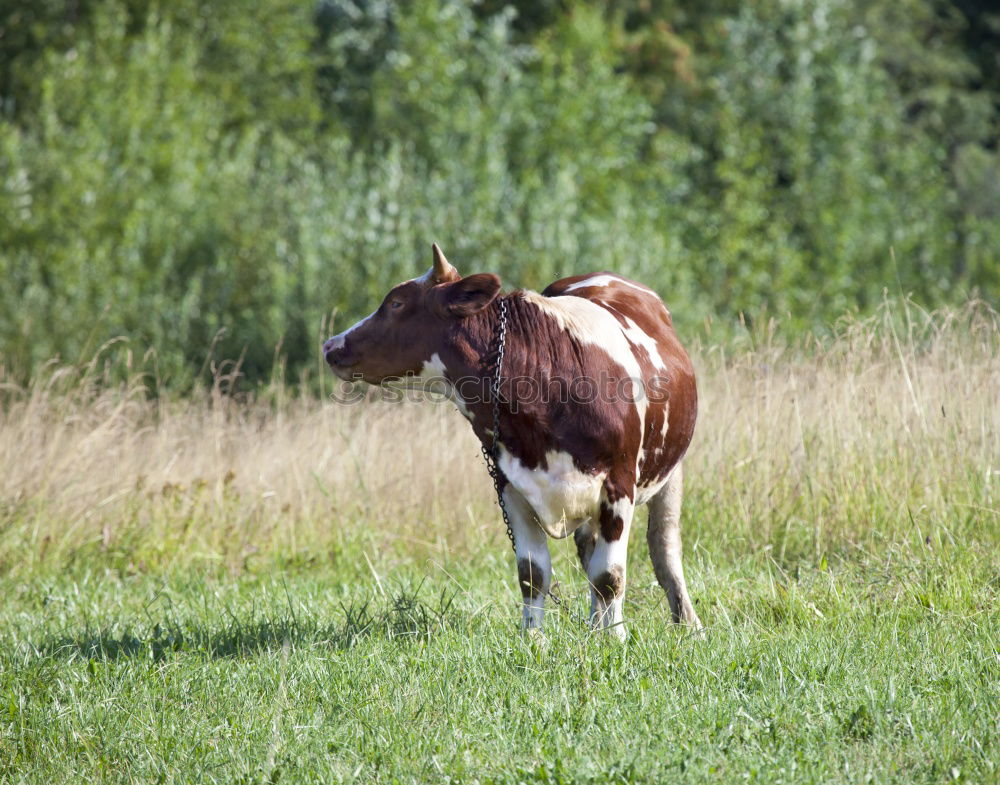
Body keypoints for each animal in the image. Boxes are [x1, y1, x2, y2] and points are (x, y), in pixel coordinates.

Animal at [324, 245, 700, 636]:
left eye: (396, 303)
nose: (330, 345)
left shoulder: (618, 484)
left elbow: (610, 576)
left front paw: (616, 637)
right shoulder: (512, 485)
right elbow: (532, 574)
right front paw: (534, 637)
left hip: (670, 470)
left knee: (664, 546)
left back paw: (687, 623)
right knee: (589, 547)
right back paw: (595, 623)